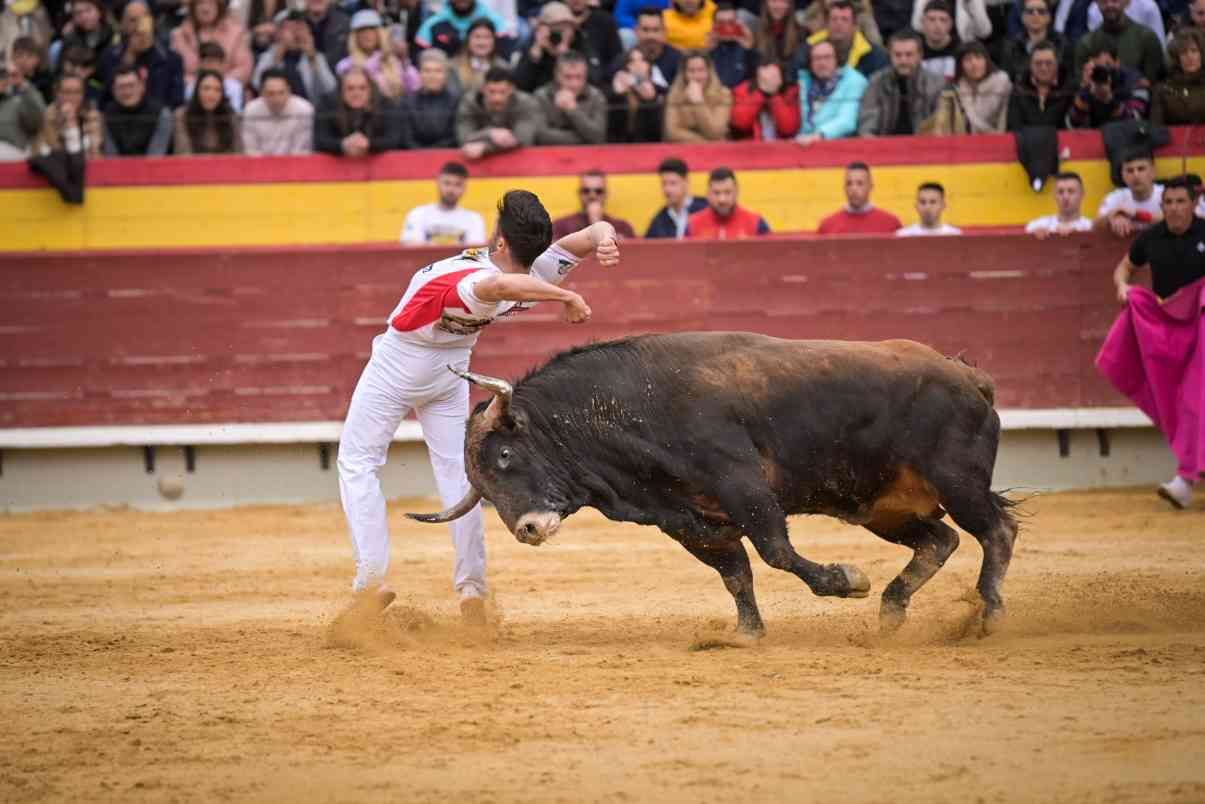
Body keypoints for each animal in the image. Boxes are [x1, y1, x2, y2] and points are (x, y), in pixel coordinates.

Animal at [409, 332, 1021, 636]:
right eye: (483, 490)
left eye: (505, 454)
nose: (529, 529)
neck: (627, 407)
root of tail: (968, 374)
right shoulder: (689, 521)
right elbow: (735, 573)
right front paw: (746, 633)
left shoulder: (743, 486)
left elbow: (776, 552)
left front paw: (846, 580)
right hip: (883, 507)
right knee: (940, 541)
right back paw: (892, 613)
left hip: (956, 481)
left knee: (995, 531)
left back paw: (990, 614)